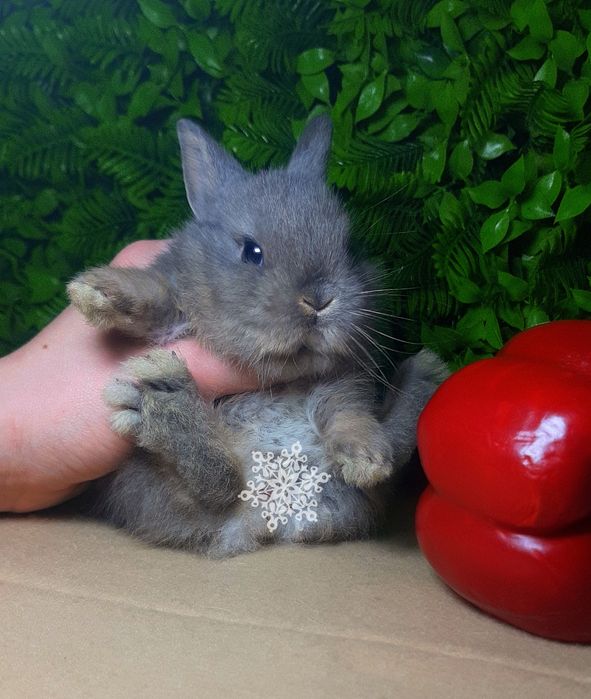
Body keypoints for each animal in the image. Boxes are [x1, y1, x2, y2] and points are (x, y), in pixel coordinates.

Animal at [68, 116, 448, 558]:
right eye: (251, 251)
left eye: (349, 246)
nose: (319, 300)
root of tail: (266, 516)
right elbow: (158, 295)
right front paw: (98, 292)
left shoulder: (342, 378)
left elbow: (347, 414)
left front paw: (366, 459)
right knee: (215, 487)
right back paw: (161, 399)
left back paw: (425, 374)